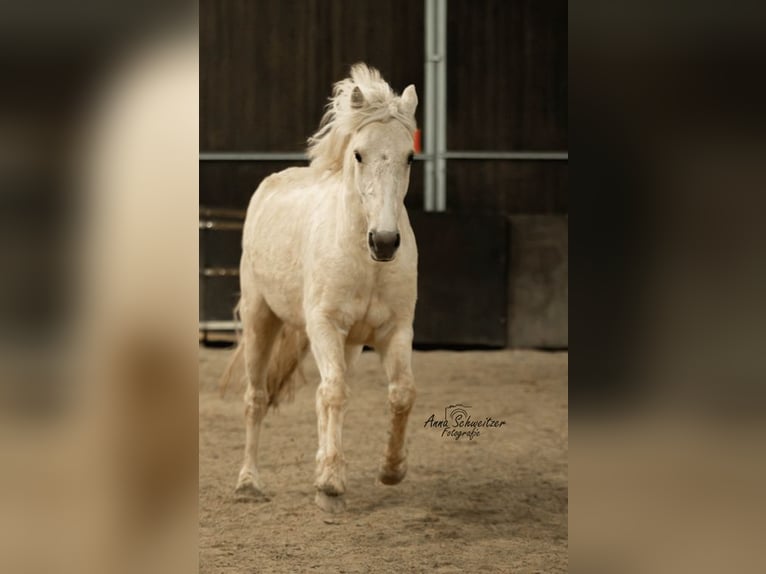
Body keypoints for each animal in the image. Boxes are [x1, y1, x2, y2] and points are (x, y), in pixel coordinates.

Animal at [225, 63, 420, 512]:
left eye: (410, 156)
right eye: (359, 153)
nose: (385, 242)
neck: (366, 262)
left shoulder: (395, 331)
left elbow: (400, 393)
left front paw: (391, 469)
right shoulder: (324, 326)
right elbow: (332, 394)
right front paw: (330, 485)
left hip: (349, 342)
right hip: (262, 319)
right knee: (256, 398)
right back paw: (248, 482)